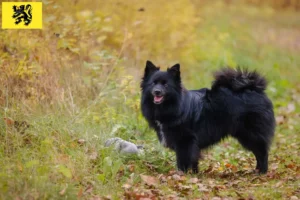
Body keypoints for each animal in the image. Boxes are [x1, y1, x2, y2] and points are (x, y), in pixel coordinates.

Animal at [141, 61, 274, 173]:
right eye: (153, 83)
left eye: (166, 84)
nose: (157, 91)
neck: (175, 106)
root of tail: (253, 88)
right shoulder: (193, 144)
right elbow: (194, 160)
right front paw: (194, 174)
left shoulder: (185, 141)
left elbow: (183, 160)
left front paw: (181, 175)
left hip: (250, 134)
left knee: (262, 152)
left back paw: (261, 172)